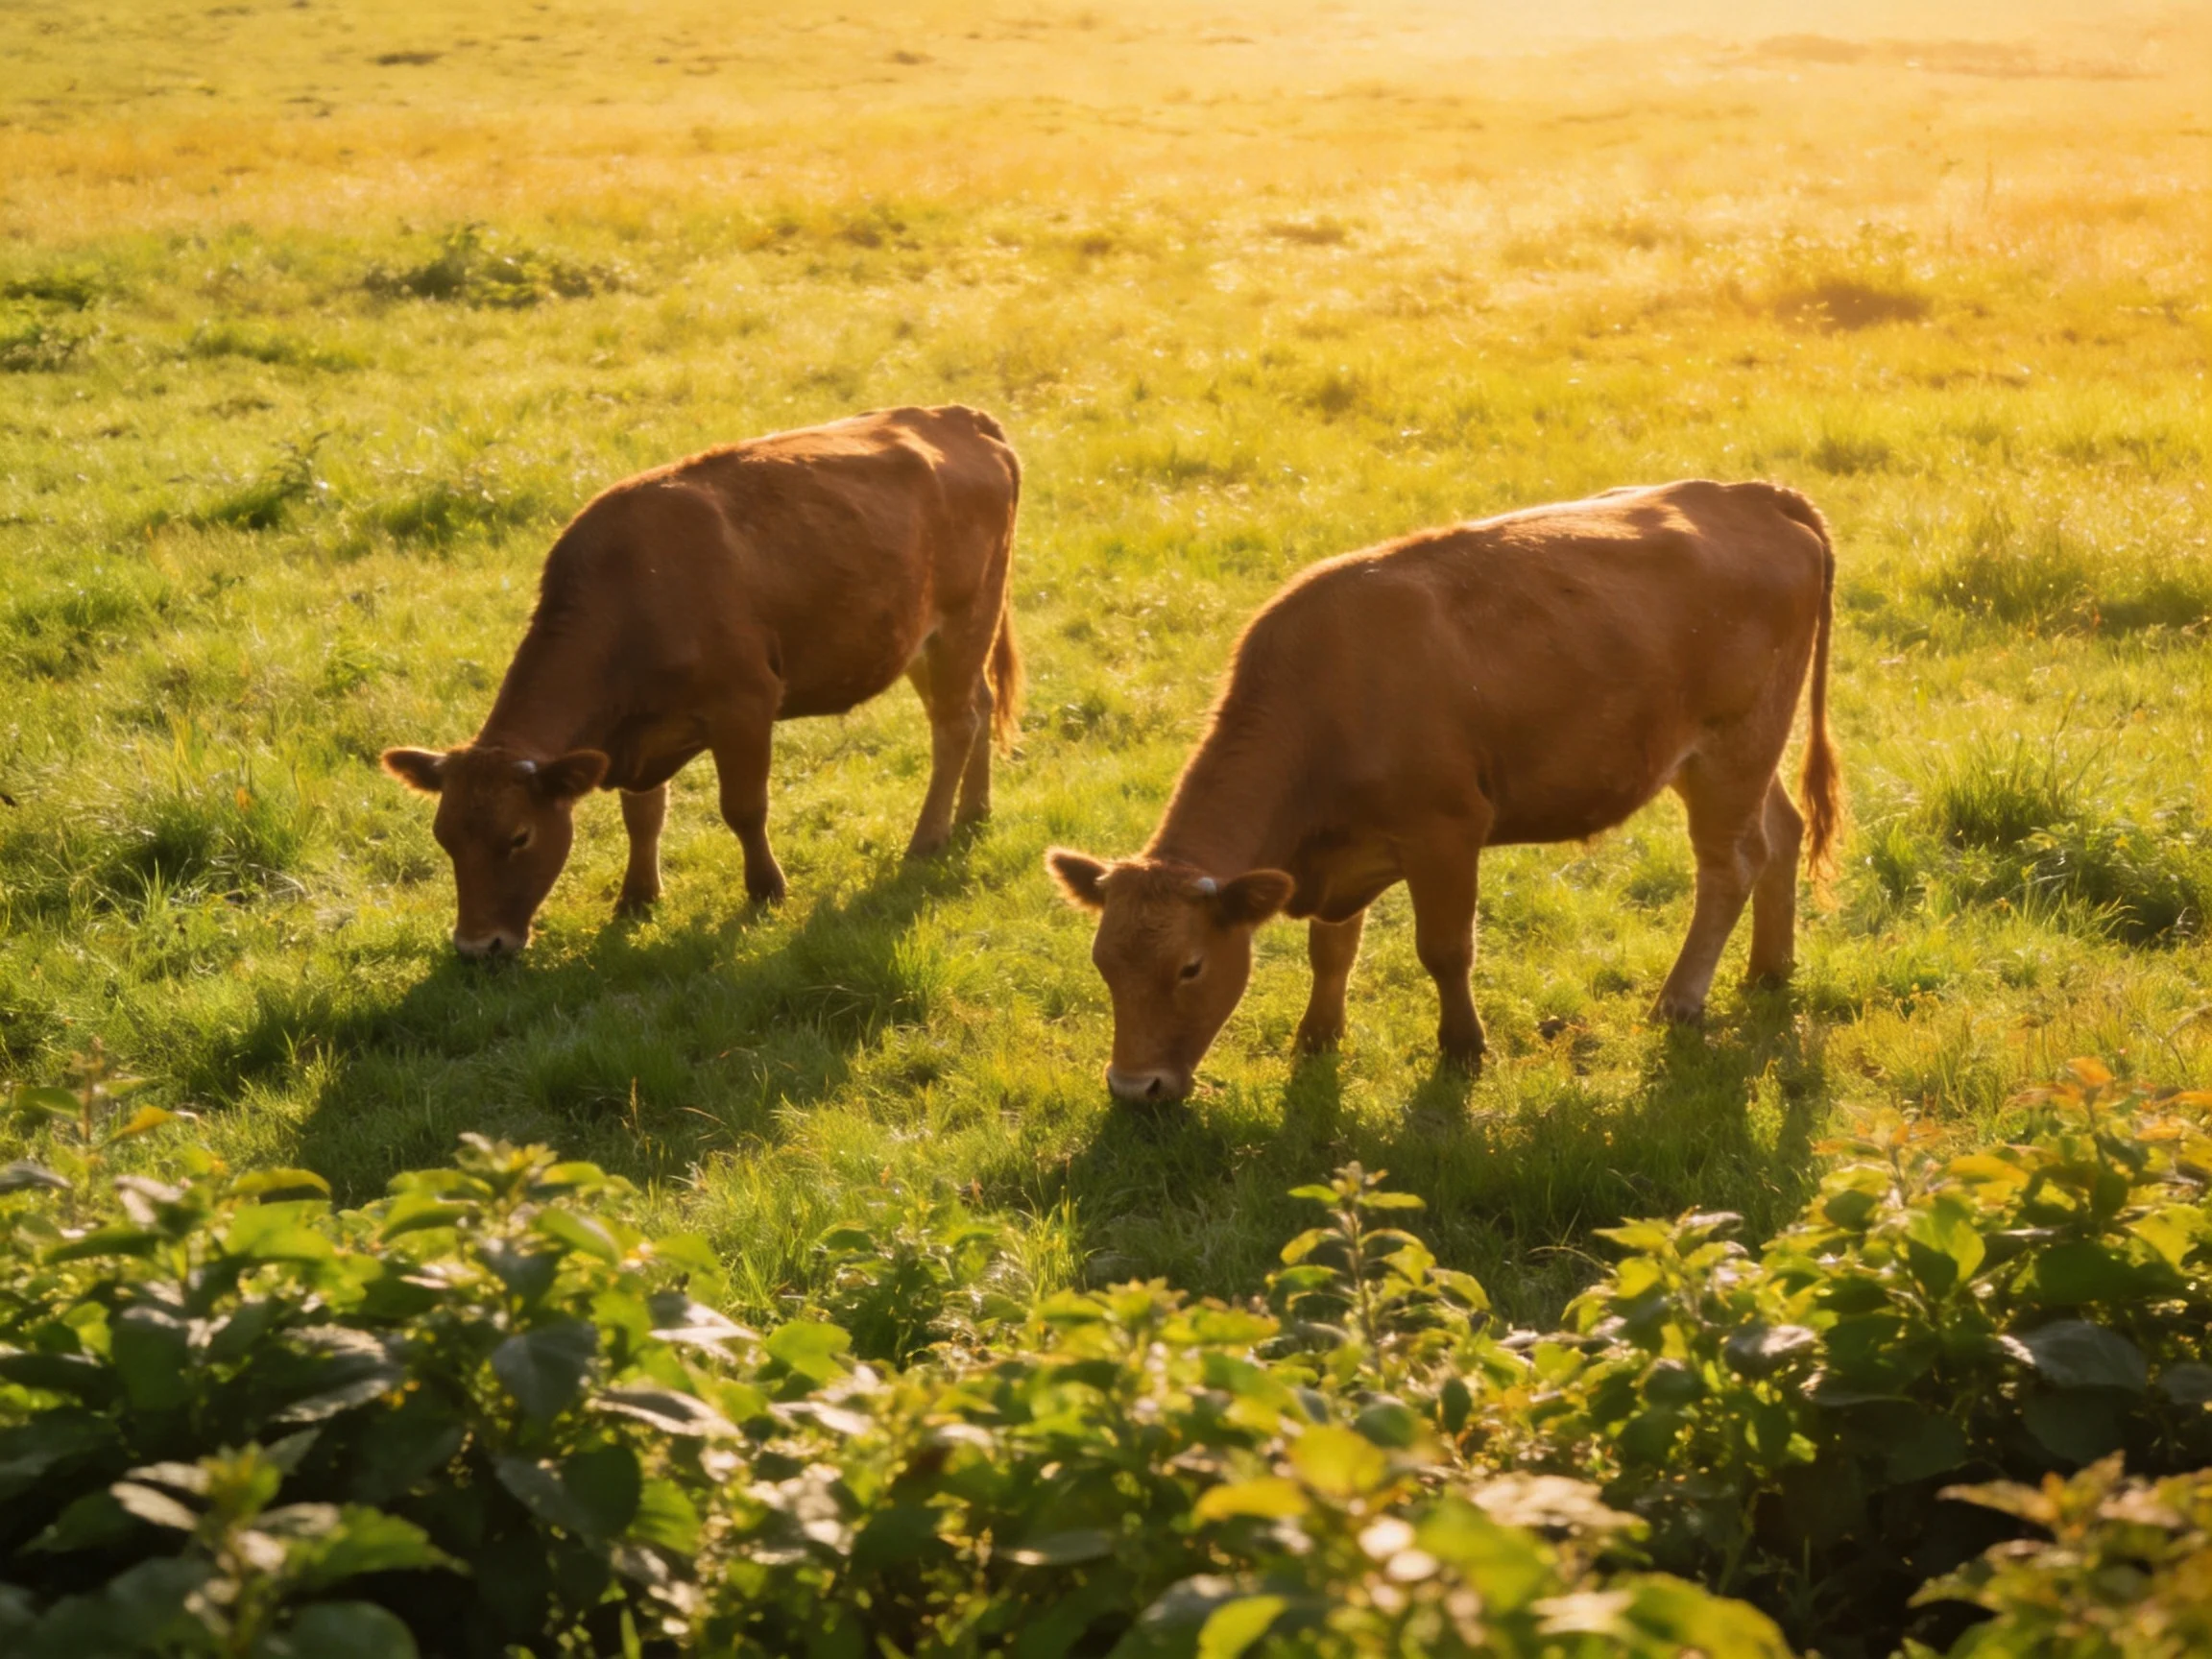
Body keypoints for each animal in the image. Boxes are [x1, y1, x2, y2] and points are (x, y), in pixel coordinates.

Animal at [383, 404, 1021, 957]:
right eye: (444, 837)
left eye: (519, 837)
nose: (476, 947)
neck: (632, 593)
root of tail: (957, 416)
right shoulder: (637, 734)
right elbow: (643, 816)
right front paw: (637, 897)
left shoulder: (746, 707)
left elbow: (744, 808)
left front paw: (766, 890)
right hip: (921, 641)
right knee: (980, 704)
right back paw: (974, 812)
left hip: (965, 620)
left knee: (954, 724)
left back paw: (927, 840)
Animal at [1047, 480, 1841, 1104]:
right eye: (1103, 963)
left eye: (1190, 967)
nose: (1133, 1088)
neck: (1330, 690)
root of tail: (1750, 495)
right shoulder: (1340, 857)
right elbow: (1332, 948)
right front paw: (1317, 1036)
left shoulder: (1446, 834)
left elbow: (1445, 949)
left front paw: (1463, 1048)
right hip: (1738, 756)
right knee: (1781, 834)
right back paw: (1769, 972)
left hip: (1731, 750)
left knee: (1730, 865)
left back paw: (1680, 1000)